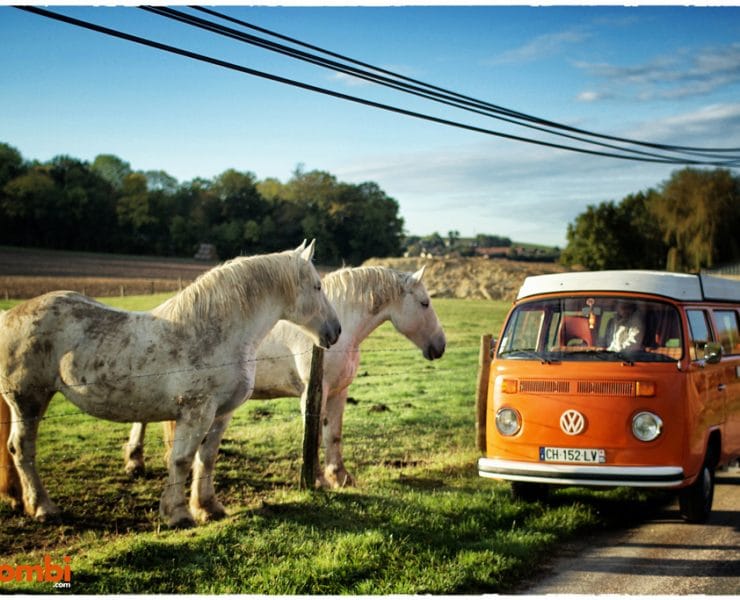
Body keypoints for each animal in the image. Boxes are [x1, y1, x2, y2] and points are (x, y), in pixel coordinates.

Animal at [0, 241, 341, 528]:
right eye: (317, 286)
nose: (335, 331)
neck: (215, 332)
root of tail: (9, 316)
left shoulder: (221, 414)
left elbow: (206, 459)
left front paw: (208, 508)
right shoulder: (196, 411)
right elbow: (181, 460)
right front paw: (178, 514)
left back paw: (20, 500)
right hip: (28, 400)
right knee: (22, 448)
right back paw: (43, 508)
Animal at [124, 265, 446, 488]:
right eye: (425, 303)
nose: (440, 346)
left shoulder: (339, 392)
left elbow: (334, 435)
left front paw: (341, 477)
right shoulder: (313, 394)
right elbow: (314, 436)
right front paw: (318, 479)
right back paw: (134, 462)